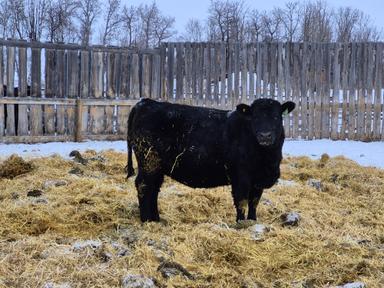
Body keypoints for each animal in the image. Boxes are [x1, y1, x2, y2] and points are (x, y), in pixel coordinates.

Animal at [126, 98, 294, 222]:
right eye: (255, 117)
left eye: (276, 117)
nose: (265, 135)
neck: (267, 160)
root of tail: (145, 102)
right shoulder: (241, 177)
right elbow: (241, 202)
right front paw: (241, 223)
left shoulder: (257, 181)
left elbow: (254, 203)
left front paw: (252, 222)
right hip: (149, 162)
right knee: (143, 186)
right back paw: (147, 220)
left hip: (157, 166)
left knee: (154, 188)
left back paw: (156, 219)